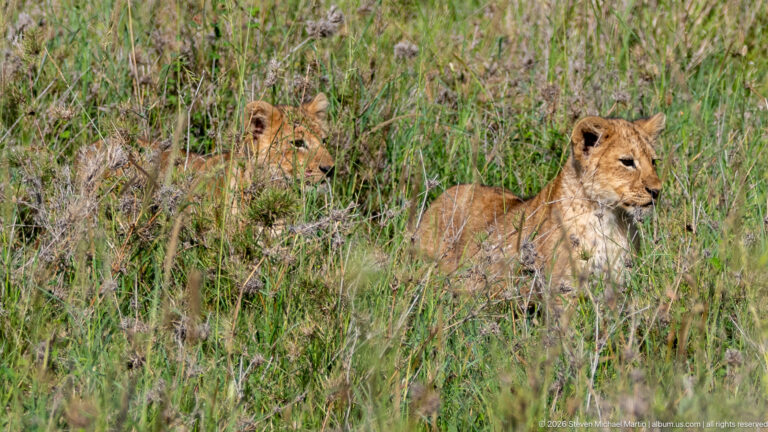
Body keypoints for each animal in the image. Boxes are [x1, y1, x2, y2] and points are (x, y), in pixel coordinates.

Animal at [413, 113, 665, 294]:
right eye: (627, 162)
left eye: (653, 161)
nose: (657, 191)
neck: (613, 218)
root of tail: (439, 198)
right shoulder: (563, 290)